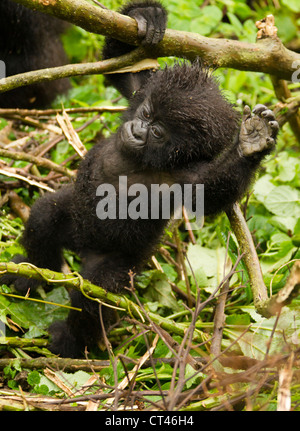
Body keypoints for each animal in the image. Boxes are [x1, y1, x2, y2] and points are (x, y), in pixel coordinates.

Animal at [1, 0, 278, 358]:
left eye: (158, 132)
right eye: (146, 113)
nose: (137, 129)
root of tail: (83, 250)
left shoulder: (186, 176)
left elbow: (211, 194)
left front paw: (249, 148)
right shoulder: (140, 91)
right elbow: (120, 68)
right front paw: (148, 17)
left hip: (122, 264)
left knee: (95, 294)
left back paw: (71, 340)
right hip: (75, 224)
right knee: (46, 215)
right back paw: (30, 275)